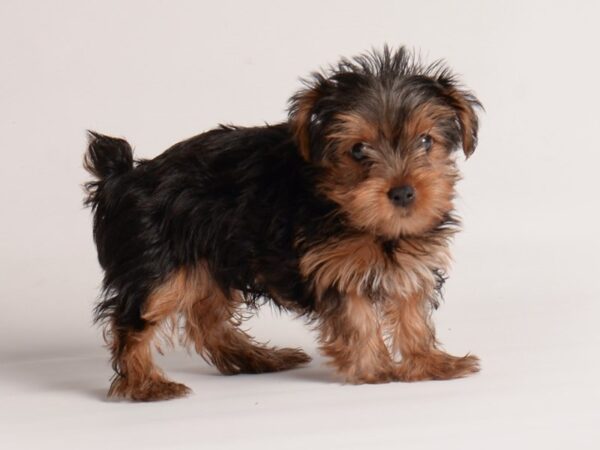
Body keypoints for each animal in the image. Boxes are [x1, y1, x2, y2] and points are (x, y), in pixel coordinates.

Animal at [84, 45, 482, 400]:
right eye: (357, 150)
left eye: (426, 141)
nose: (402, 193)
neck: (363, 220)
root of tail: (124, 177)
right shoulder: (332, 267)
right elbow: (357, 317)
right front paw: (376, 370)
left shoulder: (412, 260)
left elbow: (412, 311)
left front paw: (430, 363)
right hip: (157, 260)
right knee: (135, 319)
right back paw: (145, 385)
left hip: (212, 258)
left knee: (207, 320)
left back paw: (258, 359)